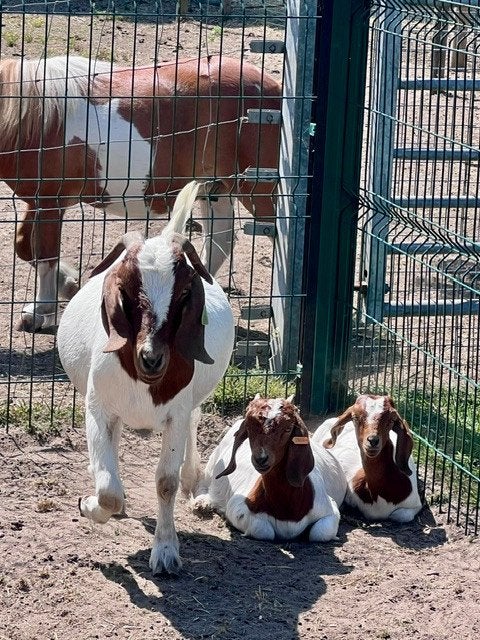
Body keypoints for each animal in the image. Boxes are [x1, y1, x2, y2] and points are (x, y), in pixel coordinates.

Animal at [56, 181, 235, 574]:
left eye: (184, 292)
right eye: (124, 287)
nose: (151, 358)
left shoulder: (176, 413)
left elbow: (166, 482)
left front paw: (166, 552)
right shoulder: (98, 408)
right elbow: (107, 489)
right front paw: (89, 504)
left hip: (191, 403)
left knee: (195, 425)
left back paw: (195, 485)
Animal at [192, 395, 347, 541]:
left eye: (288, 428)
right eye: (249, 427)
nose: (261, 459)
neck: (288, 512)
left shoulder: (330, 509)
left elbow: (320, 533)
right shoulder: (238, 506)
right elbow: (262, 530)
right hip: (214, 463)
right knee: (203, 482)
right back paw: (202, 503)